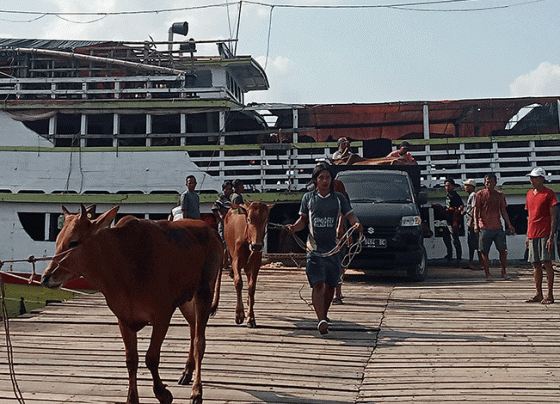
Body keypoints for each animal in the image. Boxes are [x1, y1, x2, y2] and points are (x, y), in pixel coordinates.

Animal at [42, 205, 223, 404]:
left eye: (73, 242)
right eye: (57, 241)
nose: (46, 277)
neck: (125, 264)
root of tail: (211, 230)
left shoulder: (162, 314)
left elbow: (151, 357)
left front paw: (163, 393)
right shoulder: (124, 319)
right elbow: (131, 360)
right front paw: (132, 398)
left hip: (204, 291)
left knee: (199, 341)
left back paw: (196, 391)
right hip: (186, 299)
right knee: (193, 328)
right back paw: (187, 372)